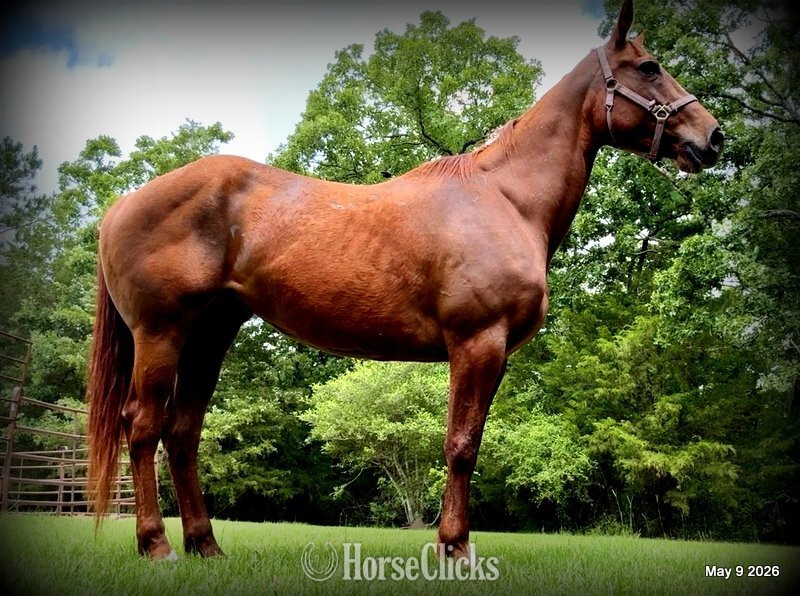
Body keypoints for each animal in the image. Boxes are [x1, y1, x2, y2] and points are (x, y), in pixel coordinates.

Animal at [87, 0, 723, 560]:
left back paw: (206, 546)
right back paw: (158, 546)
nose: (712, 136)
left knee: (182, 434)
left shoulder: (494, 353)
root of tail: (122, 204)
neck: (505, 198)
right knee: (142, 428)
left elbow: (470, 443)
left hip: (210, 335)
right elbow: (461, 446)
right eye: (649, 67)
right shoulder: (477, 343)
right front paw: (454, 548)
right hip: (161, 334)